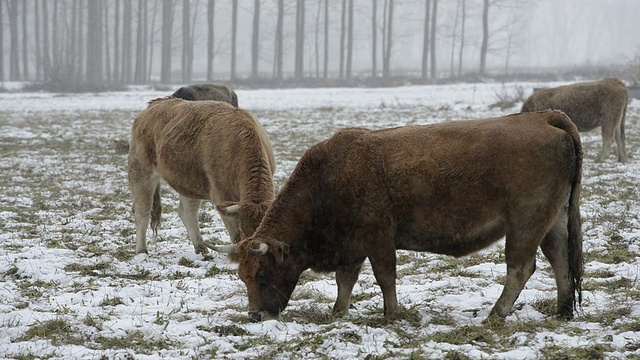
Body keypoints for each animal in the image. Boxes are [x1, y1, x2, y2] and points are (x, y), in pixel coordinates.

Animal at [127, 97, 276, 256]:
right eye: (244, 229)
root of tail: (155, 104)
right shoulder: (222, 198)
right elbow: (235, 236)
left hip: (188, 180)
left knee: (187, 212)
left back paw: (201, 247)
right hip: (141, 173)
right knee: (142, 211)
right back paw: (142, 250)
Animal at [212, 110, 584, 324]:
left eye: (263, 274)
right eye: (243, 276)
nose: (255, 315)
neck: (331, 176)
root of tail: (542, 117)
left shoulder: (378, 237)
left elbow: (384, 276)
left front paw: (391, 314)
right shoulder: (352, 246)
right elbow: (345, 280)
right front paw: (338, 311)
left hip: (525, 223)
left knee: (520, 268)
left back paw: (495, 315)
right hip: (552, 222)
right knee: (560, 260)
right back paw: (563, 310)